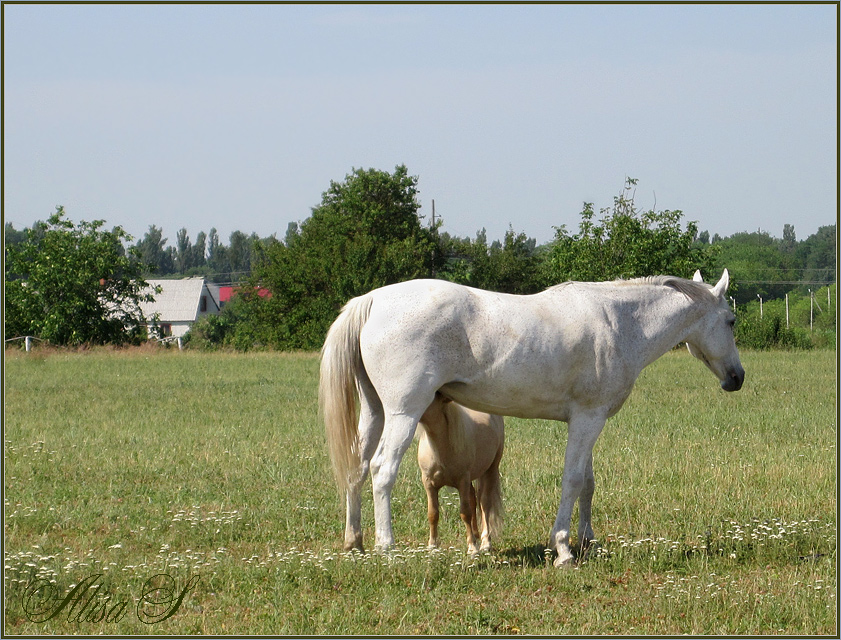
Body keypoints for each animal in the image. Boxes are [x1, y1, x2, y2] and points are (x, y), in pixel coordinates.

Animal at [416, 390, 502, 556]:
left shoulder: (462, 481)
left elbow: (465, 513)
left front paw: (473, 548)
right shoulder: (429, 483)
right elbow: (433, 514)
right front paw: (432, 546)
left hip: (491, 470)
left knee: (484, 504)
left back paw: (485, 543)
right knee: (473, 497)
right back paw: (476, 534)